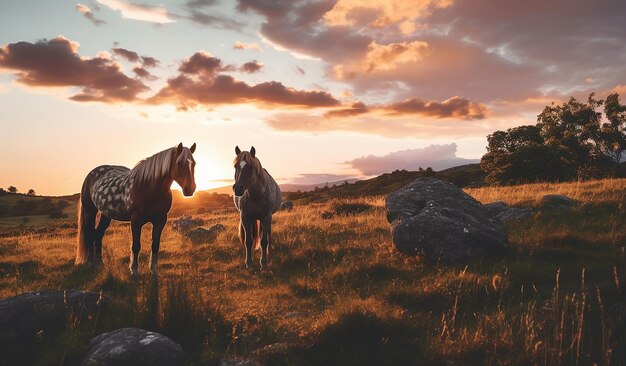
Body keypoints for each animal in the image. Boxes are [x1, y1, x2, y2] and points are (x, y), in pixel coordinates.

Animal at [74, 143, 195, 274]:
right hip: (89, 210)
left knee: (98, 234)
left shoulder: (160, 220)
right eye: (179, 163)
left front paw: (153, 270)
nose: (190, 189)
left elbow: (155, 245)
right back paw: (91, 263)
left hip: (106, 214)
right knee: (90, 234)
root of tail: (91, 174)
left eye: (193, 163)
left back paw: (100, 263)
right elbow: (136, 246)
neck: (149, 187)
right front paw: (134, 270)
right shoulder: (136, 221)